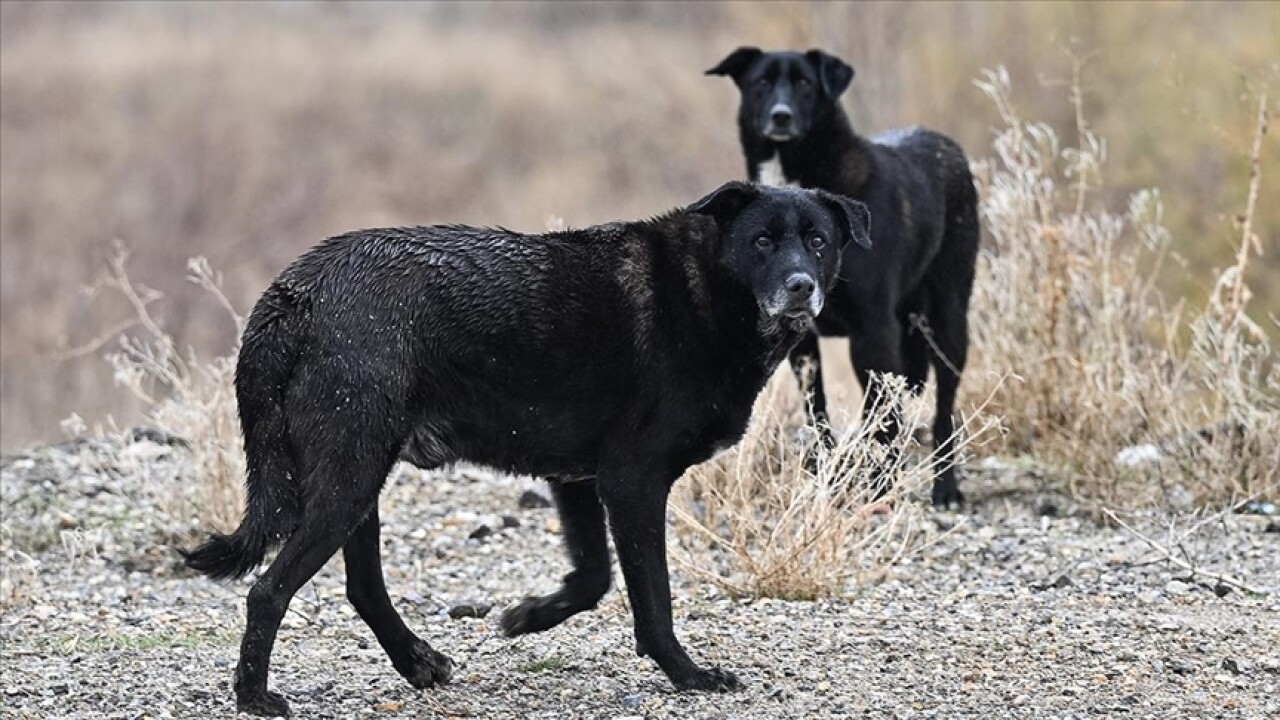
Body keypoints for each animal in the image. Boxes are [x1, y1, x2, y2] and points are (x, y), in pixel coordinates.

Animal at [183, 181, 870, 712]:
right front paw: (689, 675)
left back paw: (417, 662)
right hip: (348, 478)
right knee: (268, 591)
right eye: (762, 242)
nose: (801, 286)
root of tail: (293, 293)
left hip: (357, 478)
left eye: (818, 241)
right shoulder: (633, 481)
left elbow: (593, 577)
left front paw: (530, 616)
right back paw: (254, 697)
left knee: (363, 588)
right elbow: (654, 598)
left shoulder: (580, 479)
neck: (704, 292)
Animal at [711, 46, 977, 504]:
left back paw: (945, 486)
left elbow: (883, 417)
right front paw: (826, 475)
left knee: (944, 407)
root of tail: (946, 144)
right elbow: (817, 411)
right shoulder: (803, 344)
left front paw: (882, 487)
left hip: (948, 320)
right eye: (761, 82)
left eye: (805, 84)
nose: (781, 116)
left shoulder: (873, 333)